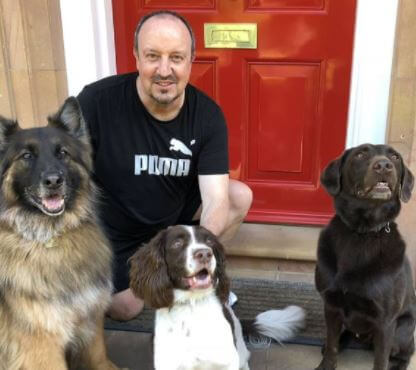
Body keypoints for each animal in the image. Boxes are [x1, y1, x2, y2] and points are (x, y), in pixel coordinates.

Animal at [0, 98, 118, 370]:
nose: (53, 181)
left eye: (62, 153)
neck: (50, 237)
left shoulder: (90, 318)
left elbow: (100, 358)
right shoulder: (41, 344)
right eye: (27, 156)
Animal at [130, 225, 306, 370]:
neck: (192, 306)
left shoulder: (227, 362)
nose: (204, 254)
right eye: (177, 243)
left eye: (209, 241)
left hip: (239, 352)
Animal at [316, 144, 416, 370]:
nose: (384, 166)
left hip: (403, 329)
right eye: (361, 154)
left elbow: (381, 360)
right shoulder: (331, 306)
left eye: (395, 157)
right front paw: (327, 363)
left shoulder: (385, 322)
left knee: (406, 353)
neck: (362, 232)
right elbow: (332, 344)